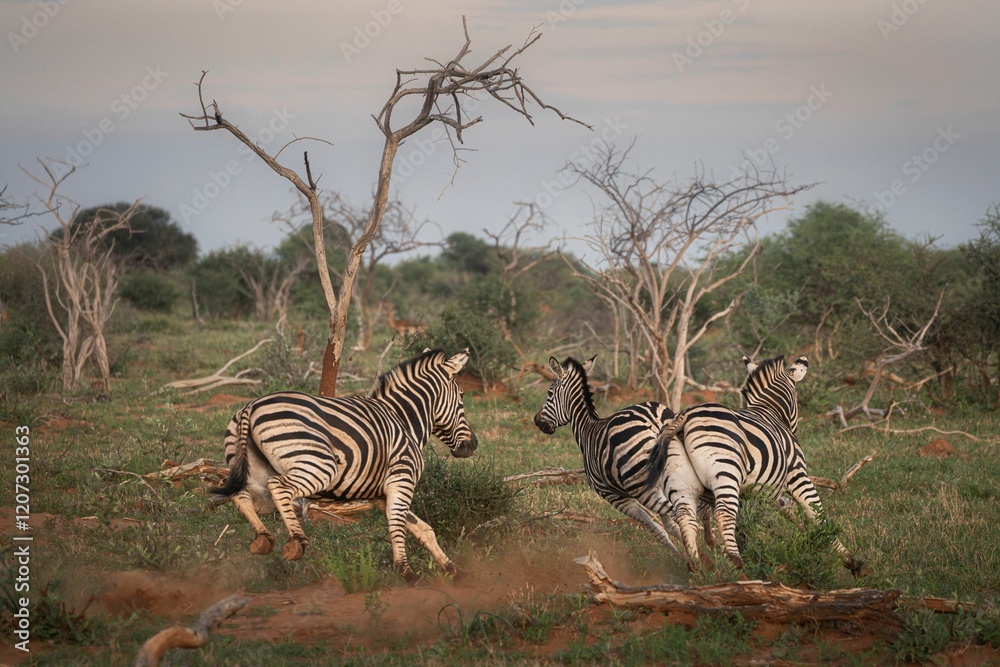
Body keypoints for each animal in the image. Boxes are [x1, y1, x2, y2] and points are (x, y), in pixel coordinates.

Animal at [211, 348, 478, 582]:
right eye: (462, 397)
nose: (473, 445)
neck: (403, 420)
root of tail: (250, 407)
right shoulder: (401, 479)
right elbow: (398, 526)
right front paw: (407, 572)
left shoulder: (379, 494)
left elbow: (422, 528)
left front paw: (453, 570)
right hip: (317, 465)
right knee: (279, 487)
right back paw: (297, 541)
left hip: (255, 476)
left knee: (241, 496)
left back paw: (263, 538)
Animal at [532, 355, 695, 559]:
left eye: (549, 393)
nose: (536, 421)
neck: (587, 429)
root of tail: (652, 418)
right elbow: (670, 527)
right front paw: (689, 556)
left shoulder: (616, 497)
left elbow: (658, 530)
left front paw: (686, 559)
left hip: (642, 489)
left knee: (682, 514)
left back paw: (703, 558)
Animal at [646, 354, 863, 574]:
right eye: (796, 398)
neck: (771, 410)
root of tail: (683, 416)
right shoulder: (797, 474)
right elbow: (816, 514)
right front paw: (851, 561)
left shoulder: (756, 491)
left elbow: (751, 524)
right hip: (726, 471)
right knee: (723, 514)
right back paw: (736, 563)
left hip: (681, 482)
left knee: (686, 518)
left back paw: (698, 567)